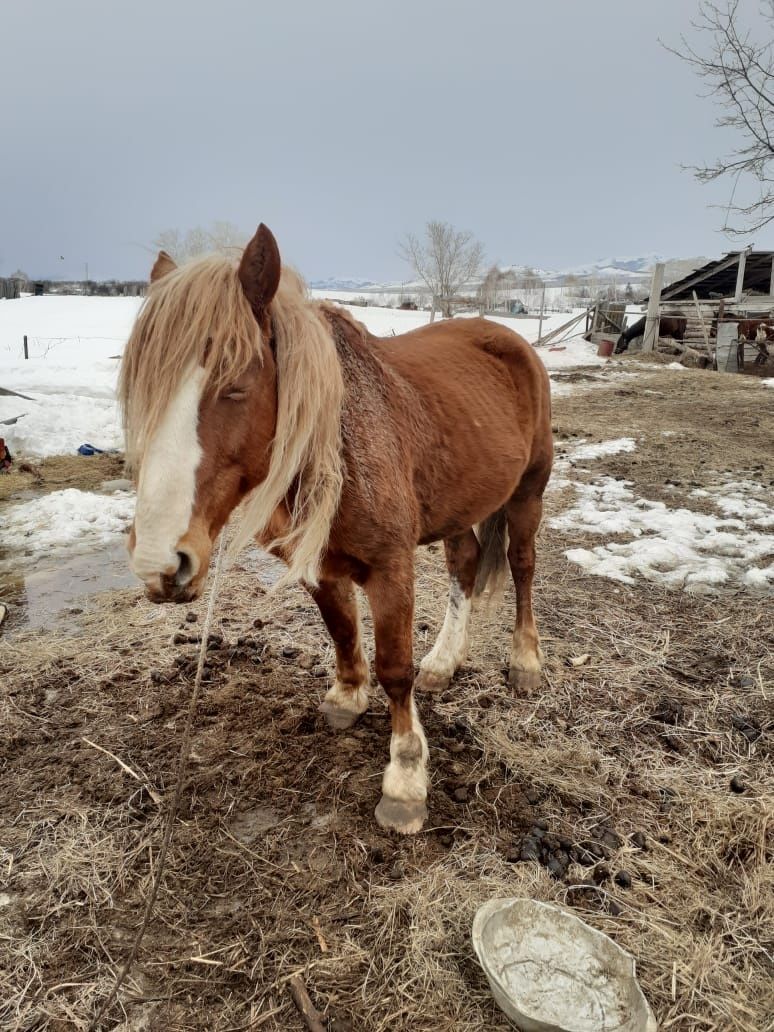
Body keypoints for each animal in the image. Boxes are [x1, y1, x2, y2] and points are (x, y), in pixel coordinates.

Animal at [119, 223, 557, 829]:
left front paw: (405, 777)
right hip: (460, 503)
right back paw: (444, 662)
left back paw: (524, 661)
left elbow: (395, 668)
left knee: (522, 567)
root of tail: (508, 339)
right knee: (465, 564)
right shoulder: (318, 564)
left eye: (236, 385)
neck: (336, 449)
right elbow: (342, 629)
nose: (159, 562)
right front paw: (348, 697)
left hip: (528, 492)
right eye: (147, 393)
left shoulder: (391, 565)